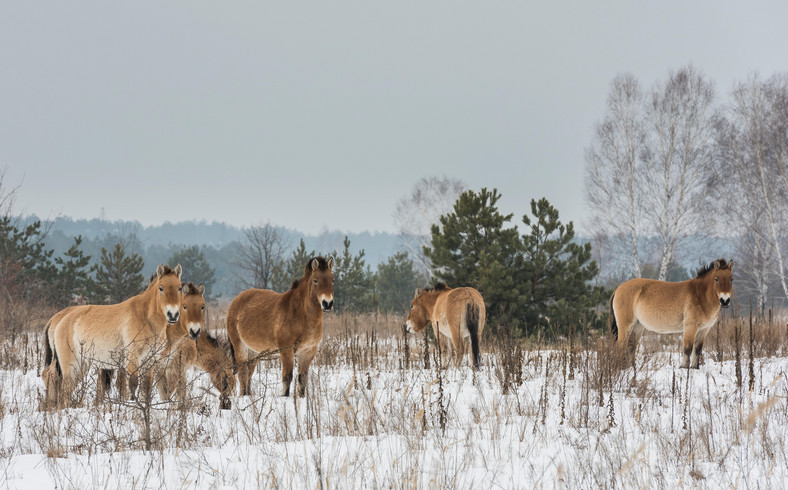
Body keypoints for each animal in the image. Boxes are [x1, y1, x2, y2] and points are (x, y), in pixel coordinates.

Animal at [50, 266, 184, 404]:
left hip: (82, 365)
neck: (145, 317)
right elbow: (132, 384)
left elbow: (146, 388)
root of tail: (60, 320)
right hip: (70, 367)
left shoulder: (150, 360)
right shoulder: (132, 358)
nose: (173, 315)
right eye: (161, 288)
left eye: (179, 288)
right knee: (65, 390)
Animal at [226, 256, 334, 398]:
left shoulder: (308, 351)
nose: (327, 304)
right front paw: (285, 397)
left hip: (254, 352)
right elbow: (287, 377)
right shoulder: (286, 350)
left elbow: (302, 378)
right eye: (315, 280)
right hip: (240, 346)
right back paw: (243, 396)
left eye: (332, 280)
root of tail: (235, 301)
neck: (300, 314)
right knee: (243, 372)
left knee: (249, 372)